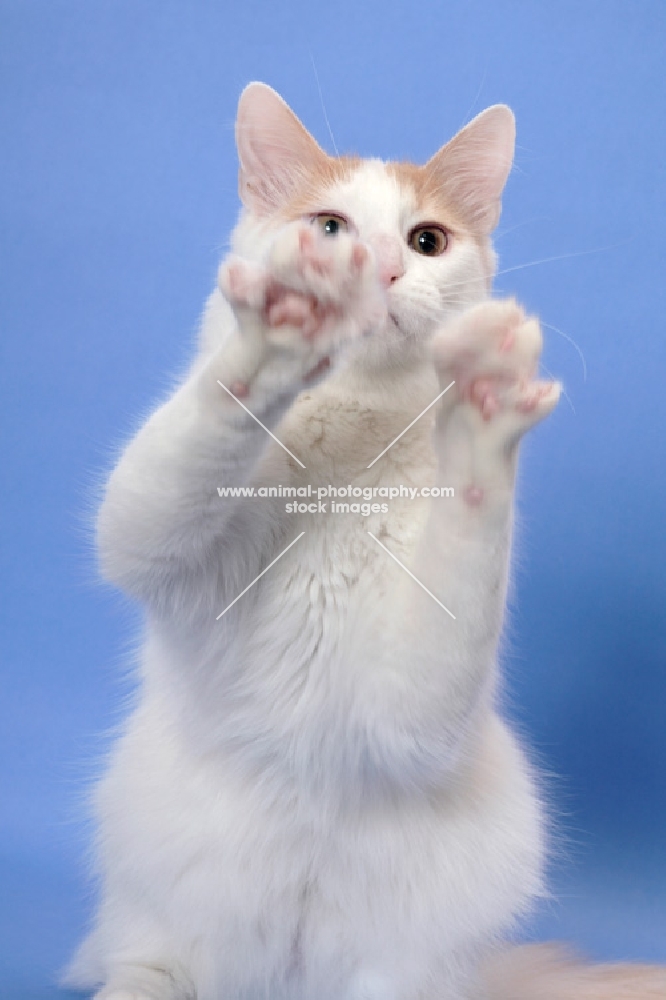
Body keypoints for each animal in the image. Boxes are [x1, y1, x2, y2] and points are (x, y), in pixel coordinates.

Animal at [62, 84, 664, 1000]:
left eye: (427, 242)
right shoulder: (155, 544)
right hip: (155, 908)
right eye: (330, 228)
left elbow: (467, 542)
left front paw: (484, 407)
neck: (353, 448)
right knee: (149, 964)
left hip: (413, 958)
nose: (378, 271)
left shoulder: (414, 707)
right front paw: (282, 333)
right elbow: (185, 455)